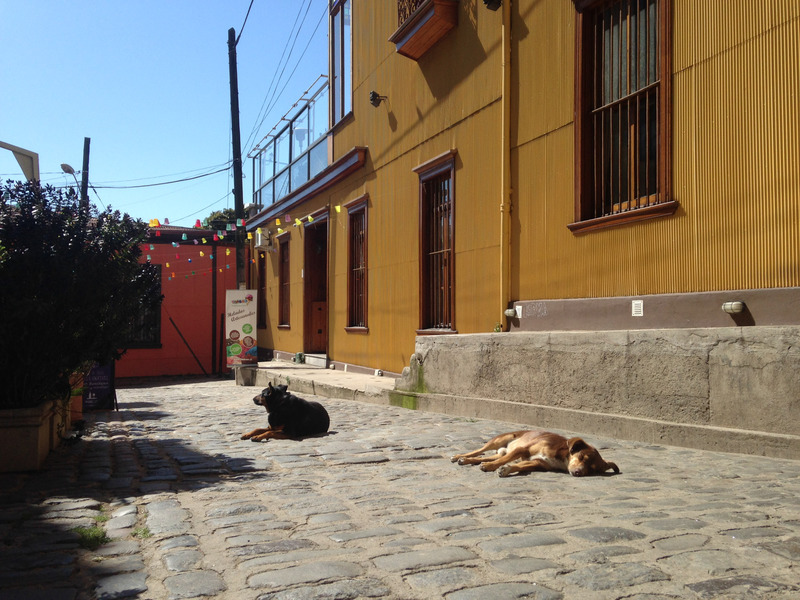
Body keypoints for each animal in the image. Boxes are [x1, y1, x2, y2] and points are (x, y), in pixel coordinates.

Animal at [450, 432, 620, 478]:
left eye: (592, 470)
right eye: (581, 457)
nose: (578, 473)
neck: (562, 458)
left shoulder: (538, 463)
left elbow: (519, 465)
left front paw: (506, 469)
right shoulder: (522, 450)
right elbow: (507, 460)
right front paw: (491, 467)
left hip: (500, 451)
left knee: (486, 456)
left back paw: (466, 460)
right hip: (499, 440)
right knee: (479, 450)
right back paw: (459, 456)